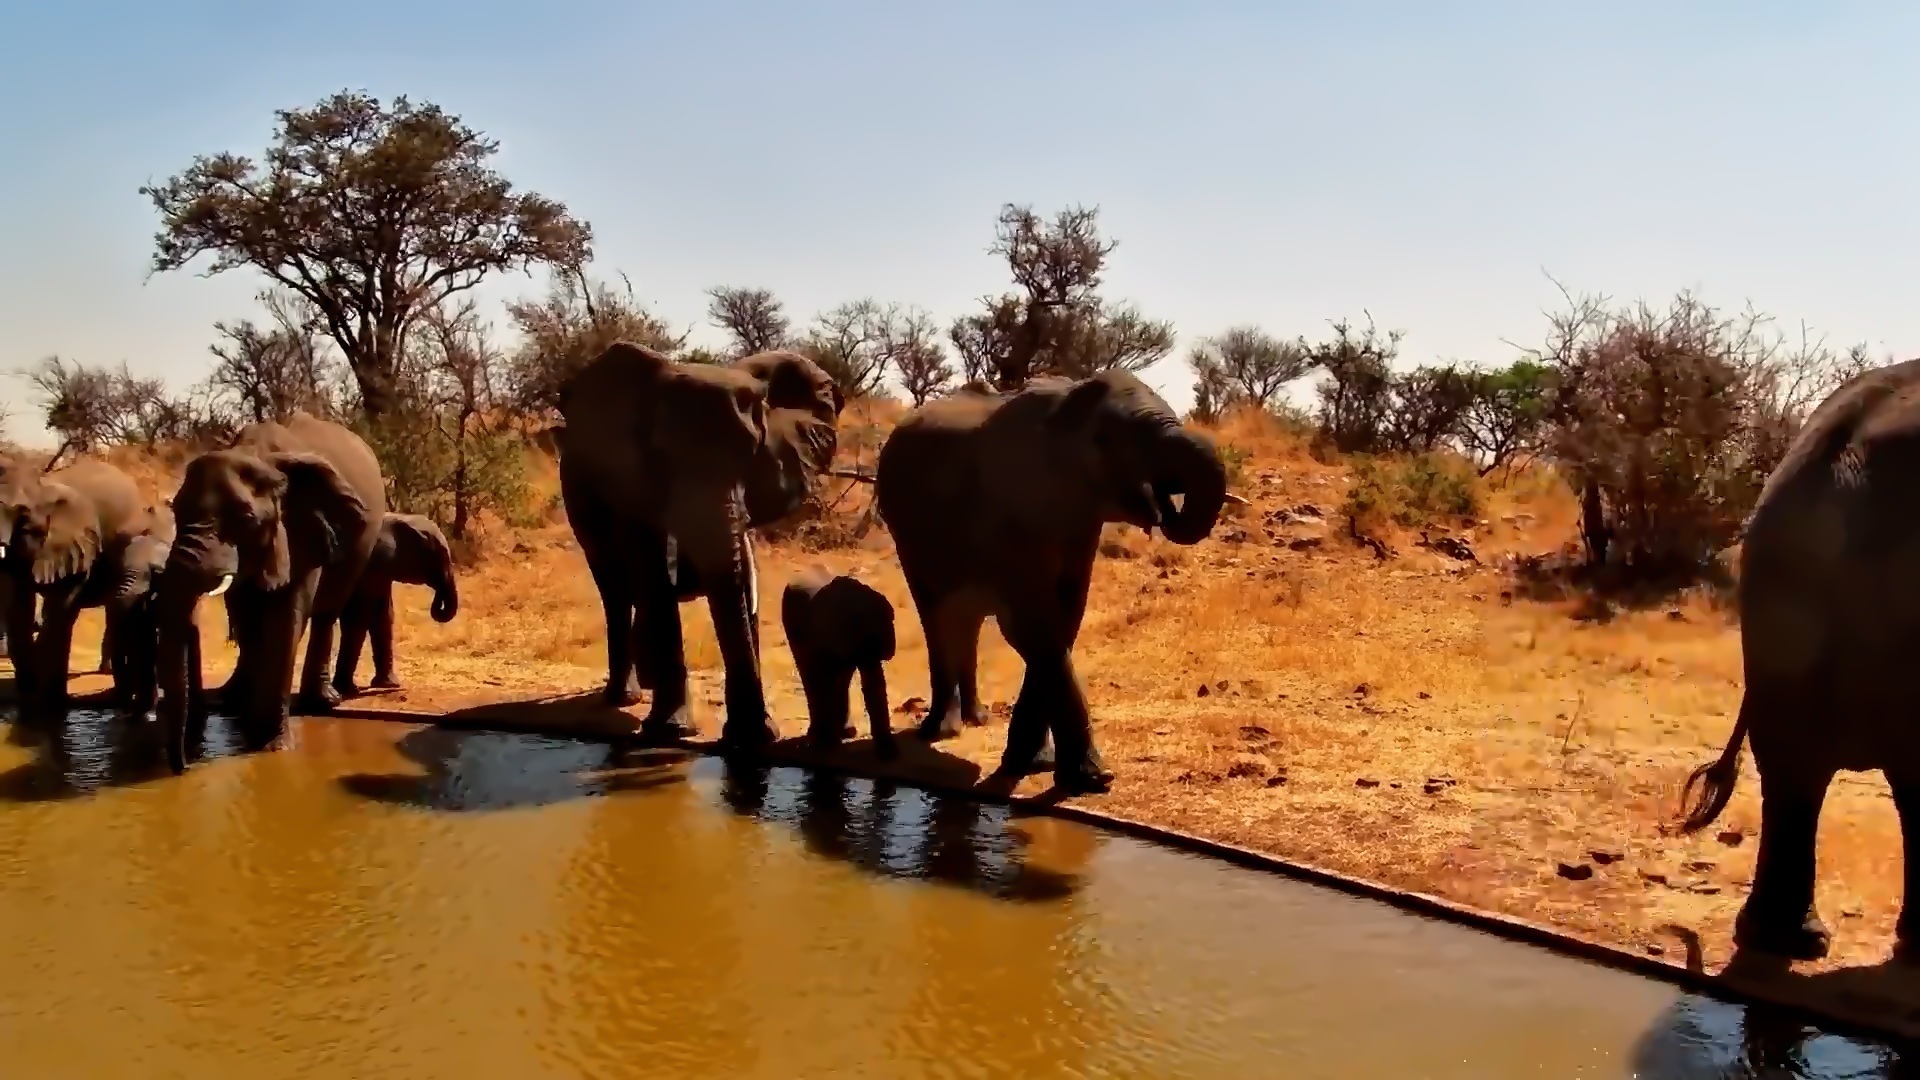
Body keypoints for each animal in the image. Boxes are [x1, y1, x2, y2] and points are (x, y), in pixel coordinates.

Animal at [153, 411, 385, 773]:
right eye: (175, 511)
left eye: (247, 518)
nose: (186, 766)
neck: (255, 453)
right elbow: (247, 616)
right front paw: (250, 732)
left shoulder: (302, 531)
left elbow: (284, 619)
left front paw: (273, 748)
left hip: (360, 545)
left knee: (326, 612)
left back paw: (323, 702)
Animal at [331, 512, 460, 698]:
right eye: (441, 555)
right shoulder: (368, 565)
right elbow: (358, 618)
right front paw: (348, 690)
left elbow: (383, 616)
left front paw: (388, 685)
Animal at [554, 341, 842, 750]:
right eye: (662, 460)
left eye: (752, 458)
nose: (753, 737)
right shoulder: (632, 481)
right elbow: (652, 575)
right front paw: (671, 732)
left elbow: (739, 585)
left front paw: (751, 738)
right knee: (614, 590)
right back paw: (623, 698)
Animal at [781, 565, 898, 759]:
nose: (889, 755)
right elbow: (825, 678)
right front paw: (827, 744)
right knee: (810, 674)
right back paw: (820, 737)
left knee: (840, 679)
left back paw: (845, 732)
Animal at [873, 369, 1235, 795]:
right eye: (1104, 440)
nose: (1159, 504)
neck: (1065, 410)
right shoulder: (1005, 515)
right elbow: (1033, 628)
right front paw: (1091, 779)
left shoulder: (1081, 524)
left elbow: (1065, 620)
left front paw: (1034, 764)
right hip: (907, 537)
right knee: (934, 614)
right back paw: (939, 731)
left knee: (967, 621)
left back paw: (977, 719)